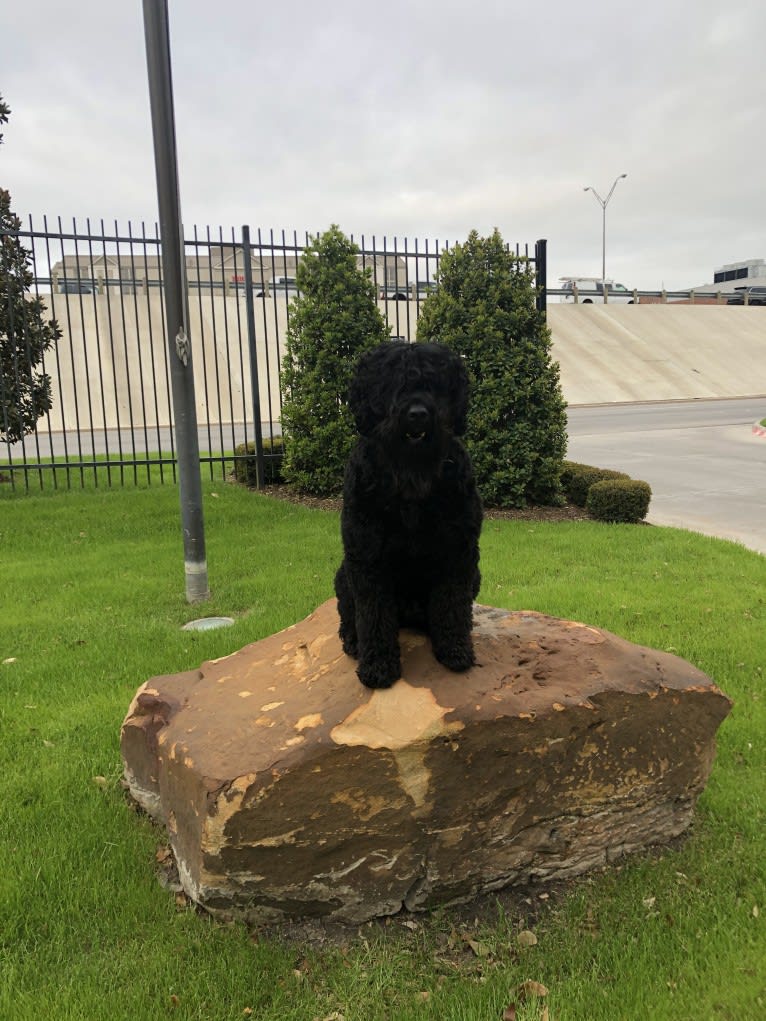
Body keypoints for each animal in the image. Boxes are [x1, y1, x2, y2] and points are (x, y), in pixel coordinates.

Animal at [334, 338, 480, 690]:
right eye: (390, 383)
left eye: (435, 382)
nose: (417, 414)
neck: (411, 480)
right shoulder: (367, 558)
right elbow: (373, 615)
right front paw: (378, 666)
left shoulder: (459, 552)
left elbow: (452, 605)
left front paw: (455, 649)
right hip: (344, 575)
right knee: (349, 615)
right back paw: (353, 641)